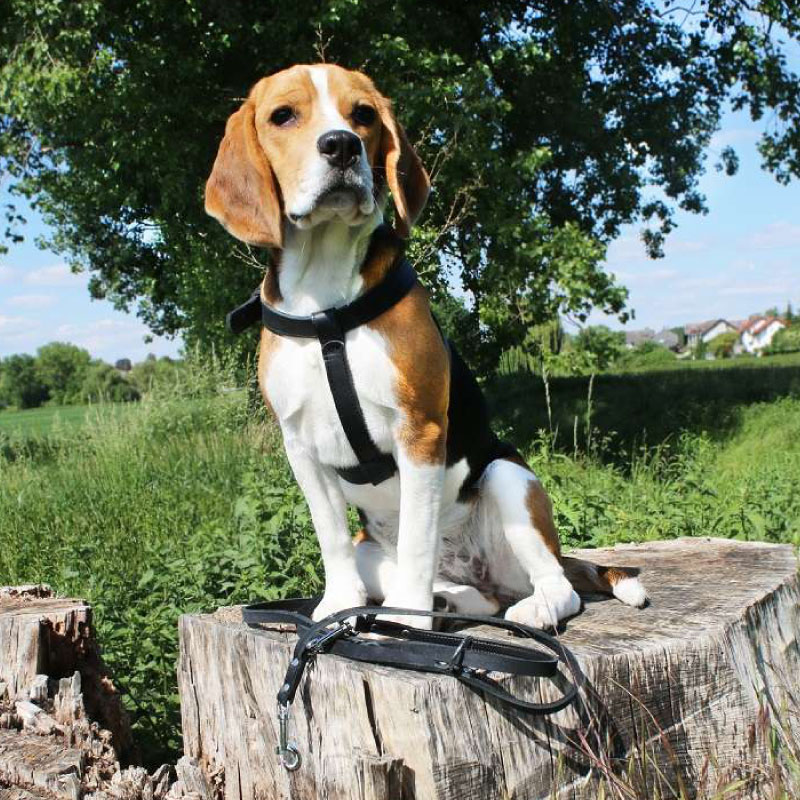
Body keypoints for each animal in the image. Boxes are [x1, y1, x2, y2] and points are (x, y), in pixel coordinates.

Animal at [203, 64, 648, 632]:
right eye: (283, 116)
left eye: (363, 115)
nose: (341, 145)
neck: (326, 304)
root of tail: (472, 567)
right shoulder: (300, 446)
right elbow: (330, 538)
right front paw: (339, 605)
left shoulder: (419, 431)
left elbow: (418, 540)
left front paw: (407, 619)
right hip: (374, 549)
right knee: (468, 592)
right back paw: (446, 600)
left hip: (509, 479)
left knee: (554, 585)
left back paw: (521, 607)